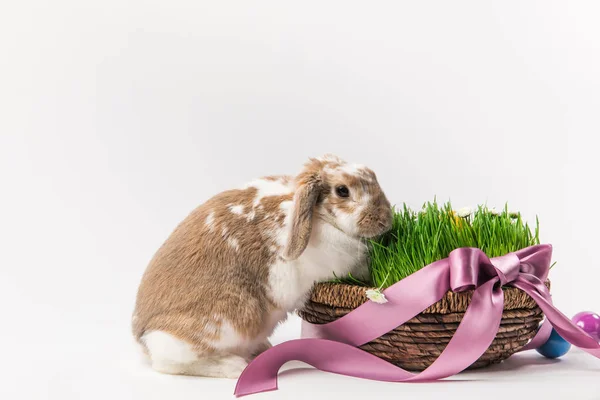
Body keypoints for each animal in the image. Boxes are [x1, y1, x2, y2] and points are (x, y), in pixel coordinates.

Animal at [131, 154, 394, 378]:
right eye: (342, 191)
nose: (385, 220)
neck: (318, 216)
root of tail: (142, 337)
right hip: (233, 316)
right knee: (170, 363)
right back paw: (234, 366)